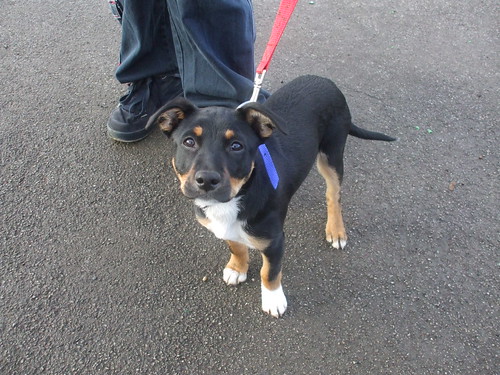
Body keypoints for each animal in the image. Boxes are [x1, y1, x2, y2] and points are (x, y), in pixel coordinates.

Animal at [146, 75, 396, 318]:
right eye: (189, 142)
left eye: (236, 146)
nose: (207, 180)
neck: (238, 195)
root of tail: (326, 81)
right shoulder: (226, 228)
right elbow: (235, 245)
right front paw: (237, 268)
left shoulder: (274, 241)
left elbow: (270, 272)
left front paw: (273, 300)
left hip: (332, 153)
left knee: (333, 194)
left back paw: (336, 230)